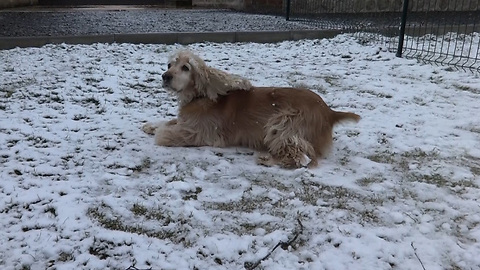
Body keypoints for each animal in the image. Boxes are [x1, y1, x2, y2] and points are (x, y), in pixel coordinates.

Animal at [142, 50, 360, 168]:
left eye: (186, 68)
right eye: (169, 65)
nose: (165, 76)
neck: (200, 96)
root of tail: (330, 112)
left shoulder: (200, 133)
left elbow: (166, 134)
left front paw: (159, 131)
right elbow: (170, 121)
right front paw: (151, 125)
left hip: (283, 121)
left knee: (304, 158)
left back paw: (268, 159)